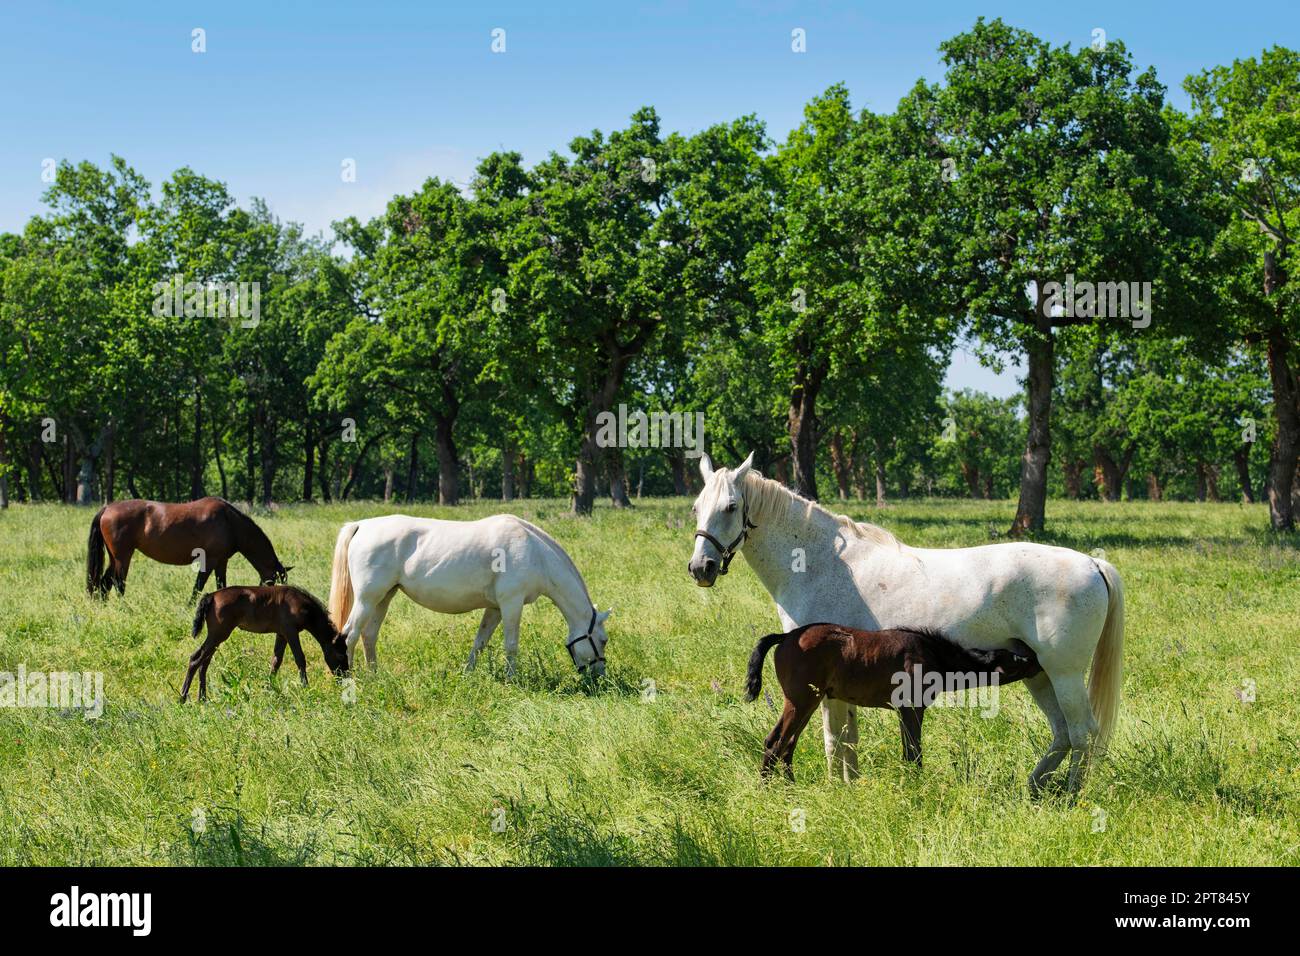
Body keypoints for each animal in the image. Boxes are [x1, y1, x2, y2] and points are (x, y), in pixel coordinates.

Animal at [87, 497, 291, 600]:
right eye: (275, 580)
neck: (229, 522)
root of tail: (107, 508)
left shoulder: (221, 562)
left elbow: (221, 585)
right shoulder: (209, 560)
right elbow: (198, 586)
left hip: (114, 558)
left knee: (104, 583)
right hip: (123, 557)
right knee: (118, 582)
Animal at [181, 585, 348, 702]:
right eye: (340, 655)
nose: (344, 677)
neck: (300, 604)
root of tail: (211, 596)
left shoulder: (281, 634)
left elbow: (276, 661)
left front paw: (269, 689)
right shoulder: (291, 632)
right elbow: (300, 658)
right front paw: (305, 688)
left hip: (217, 637)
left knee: (204, 662)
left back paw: (202, 699)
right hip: (218, 634)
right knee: (196, 659)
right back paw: (182, 697)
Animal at [328, 514, 611, 676]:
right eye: (604, 640)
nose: (598, 675)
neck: (534, 552)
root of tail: (362, 525)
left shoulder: (495, 608)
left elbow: (480, 642)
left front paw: (467, 673)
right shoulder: (511, 604)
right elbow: (511, 645)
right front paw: (512, 678)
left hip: (384, 597)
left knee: (369, 635)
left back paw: (375, 675)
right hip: (367, 599)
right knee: (350, 634)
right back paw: (350, 678)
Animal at [744, 623, 1042, 779]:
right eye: (1018, 659)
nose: (1039, 660)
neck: (932, 654)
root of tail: (787, 637)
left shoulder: (903, 710)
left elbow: (907, 748)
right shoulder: (912, 707)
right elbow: (913, 750)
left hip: (808, 702)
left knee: (786, 744)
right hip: (801, 701)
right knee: (776, 742)